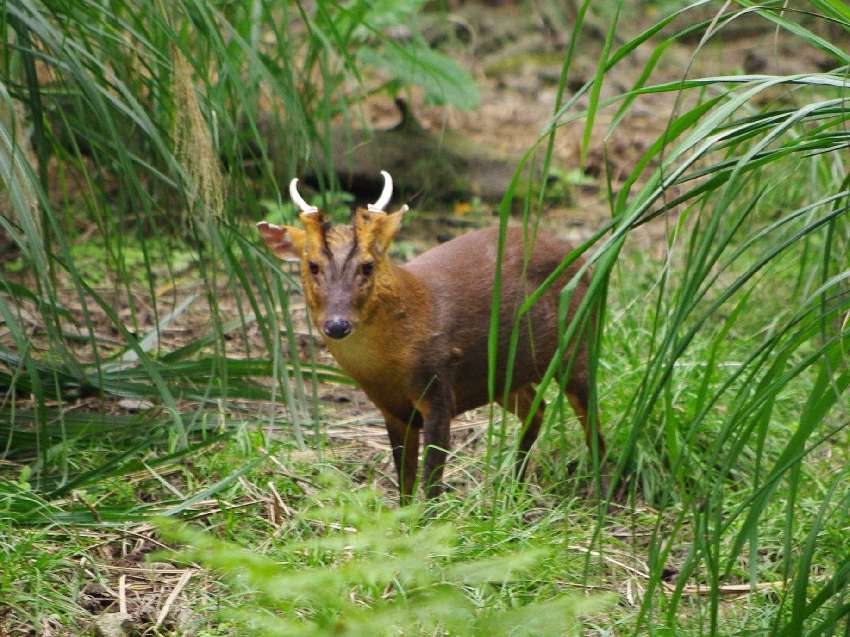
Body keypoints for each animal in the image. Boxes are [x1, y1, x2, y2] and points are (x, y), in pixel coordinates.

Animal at [258, 171, 604, 500]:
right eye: (312, 265)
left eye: (368, 265)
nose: (337, 325)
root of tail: (581, 258)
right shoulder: (391, 408)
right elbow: (405, 481)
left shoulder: (439, 389)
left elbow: (432, 479)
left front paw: (430, 519)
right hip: (504, 375)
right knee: (537, 407)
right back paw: (515, 487)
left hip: (578, 343)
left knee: (592, 423)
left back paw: (604, 493)